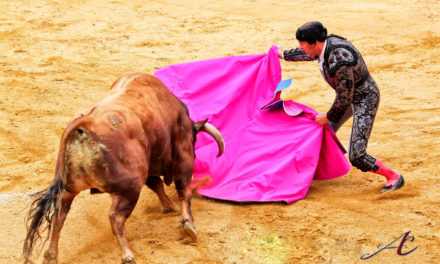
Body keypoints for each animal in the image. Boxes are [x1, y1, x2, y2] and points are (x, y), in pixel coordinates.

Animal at [22, 72, 225, 264]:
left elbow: (156, 184)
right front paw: (187, 224)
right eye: (194, 140)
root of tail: (86, 123)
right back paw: (128, 255)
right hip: (130, 188)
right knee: (115, 218)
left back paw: (50, 255)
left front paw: (169, 206)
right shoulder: (183, 155)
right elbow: (183, 190)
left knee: (59, 214)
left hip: (68, 188)